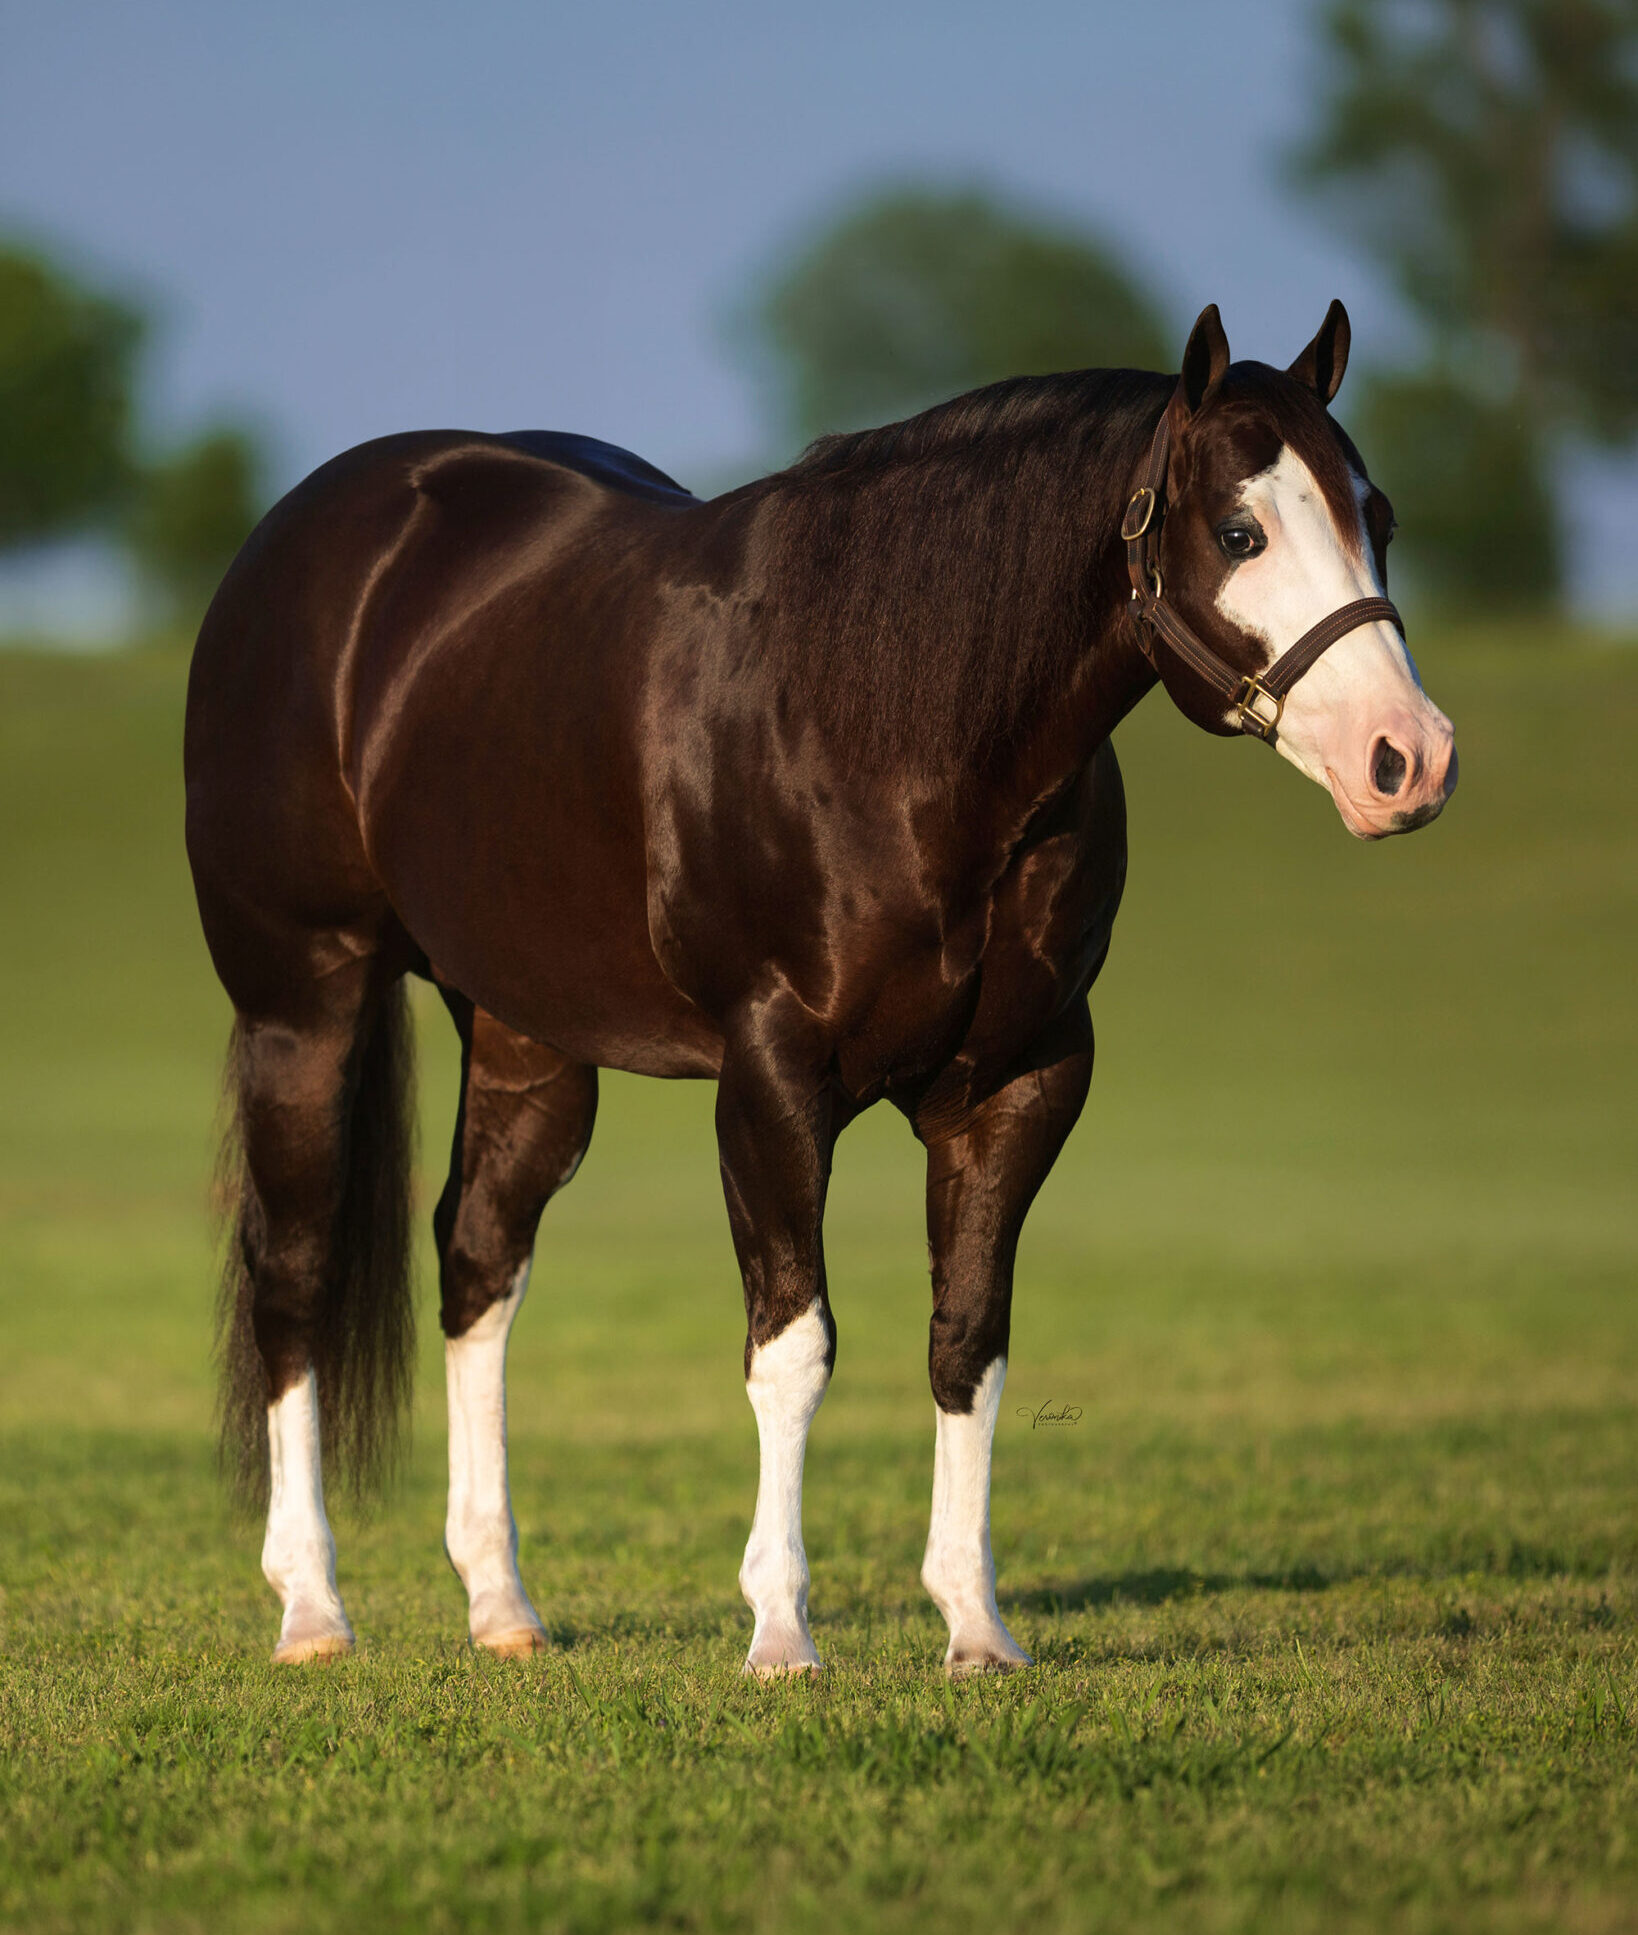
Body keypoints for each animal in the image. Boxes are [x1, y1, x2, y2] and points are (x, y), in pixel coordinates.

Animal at [184, 300, 1456, 1675]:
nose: (1409, 759)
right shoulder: (773, 1079)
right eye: (1238, 530)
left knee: (478, 1262)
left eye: (1378, 517)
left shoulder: (1019, 1083)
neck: (893, 722)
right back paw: (312, 1607)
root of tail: (305, 539)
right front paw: (783, 1632)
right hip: (302, 1003)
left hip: (525, 1036)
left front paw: (975, 1625)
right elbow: (792, 1347)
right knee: (294, 1277)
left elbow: (969, 1341)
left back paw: (501, 1607)